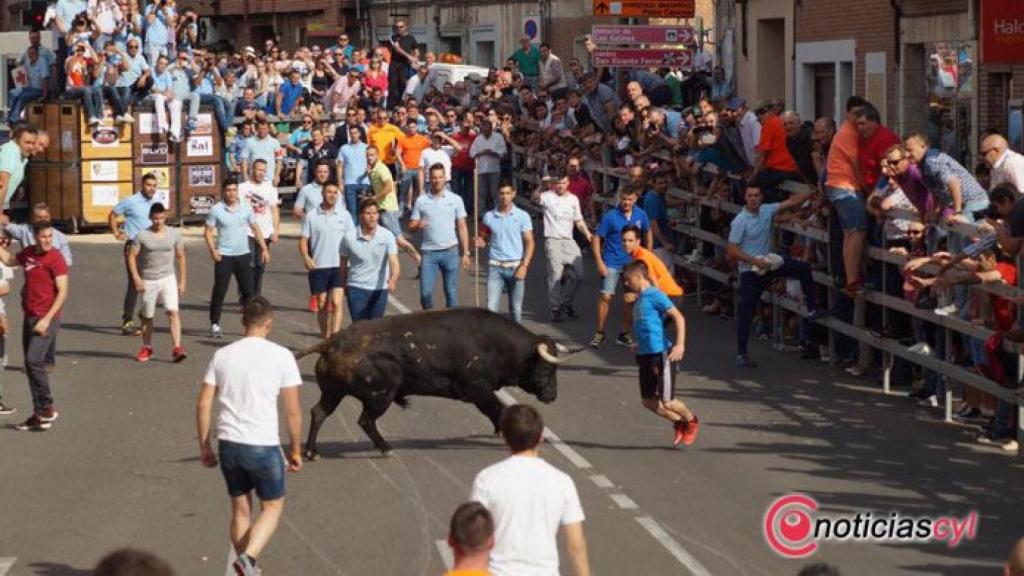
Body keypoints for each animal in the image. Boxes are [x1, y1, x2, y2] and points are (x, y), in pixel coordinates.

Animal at [296, 307, 581, 455]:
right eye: (547, 367)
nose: (552, 396)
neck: (496, 344)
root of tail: (333, 341)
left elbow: (497, 413)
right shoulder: (479, 389)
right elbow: (499, 411)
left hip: (333, 392)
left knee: (319, 412)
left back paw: (311, 451)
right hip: (380, 396)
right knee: (365, 420)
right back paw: (386, 448)